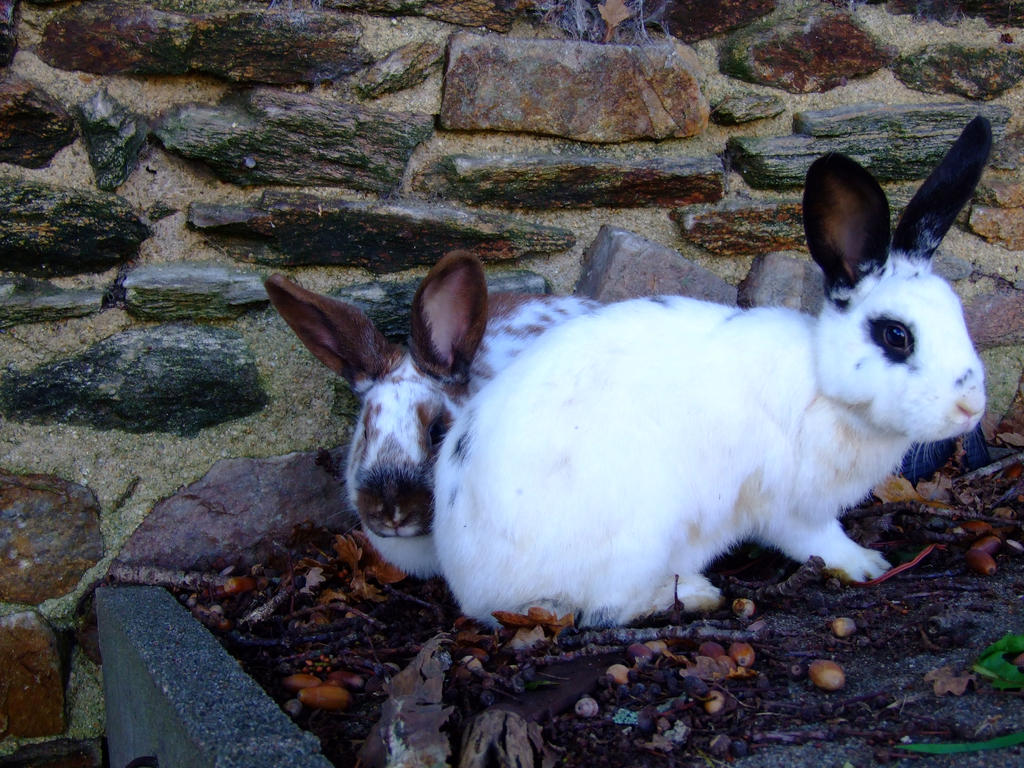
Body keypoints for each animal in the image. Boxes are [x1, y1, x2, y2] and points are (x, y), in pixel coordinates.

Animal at [433, 116, 992, 627]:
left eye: (959, 316)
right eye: (896, 335)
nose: (971, 407)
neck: (824, 389)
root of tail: (472, 589)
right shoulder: (787, 504)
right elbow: (818, 539)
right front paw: (866, 564)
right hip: (640, 535)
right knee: (603, 608)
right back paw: (694, 594)